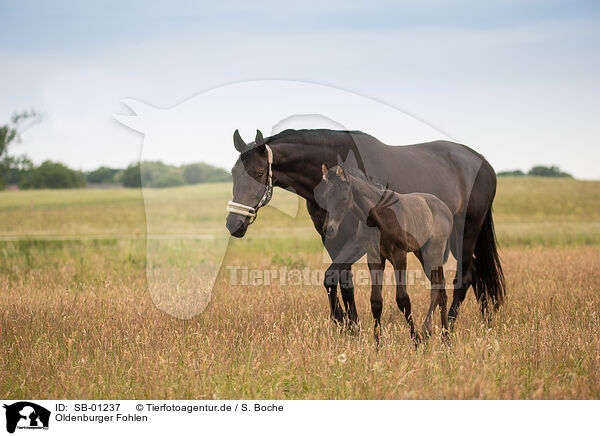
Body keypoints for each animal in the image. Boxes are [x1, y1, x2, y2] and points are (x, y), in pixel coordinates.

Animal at [227, 127, 504, 328]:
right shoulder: (333, 240)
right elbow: (344, 283)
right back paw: (486, 320)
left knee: (464, 276)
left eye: (259, 172)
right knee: (475, 273)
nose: (234, 224)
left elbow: (330, 277)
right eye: (233, 173)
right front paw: (352, 327)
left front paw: (342, 321)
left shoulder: (358, 243)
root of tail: (483, 162)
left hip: (466, 231)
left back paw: (450, 325)